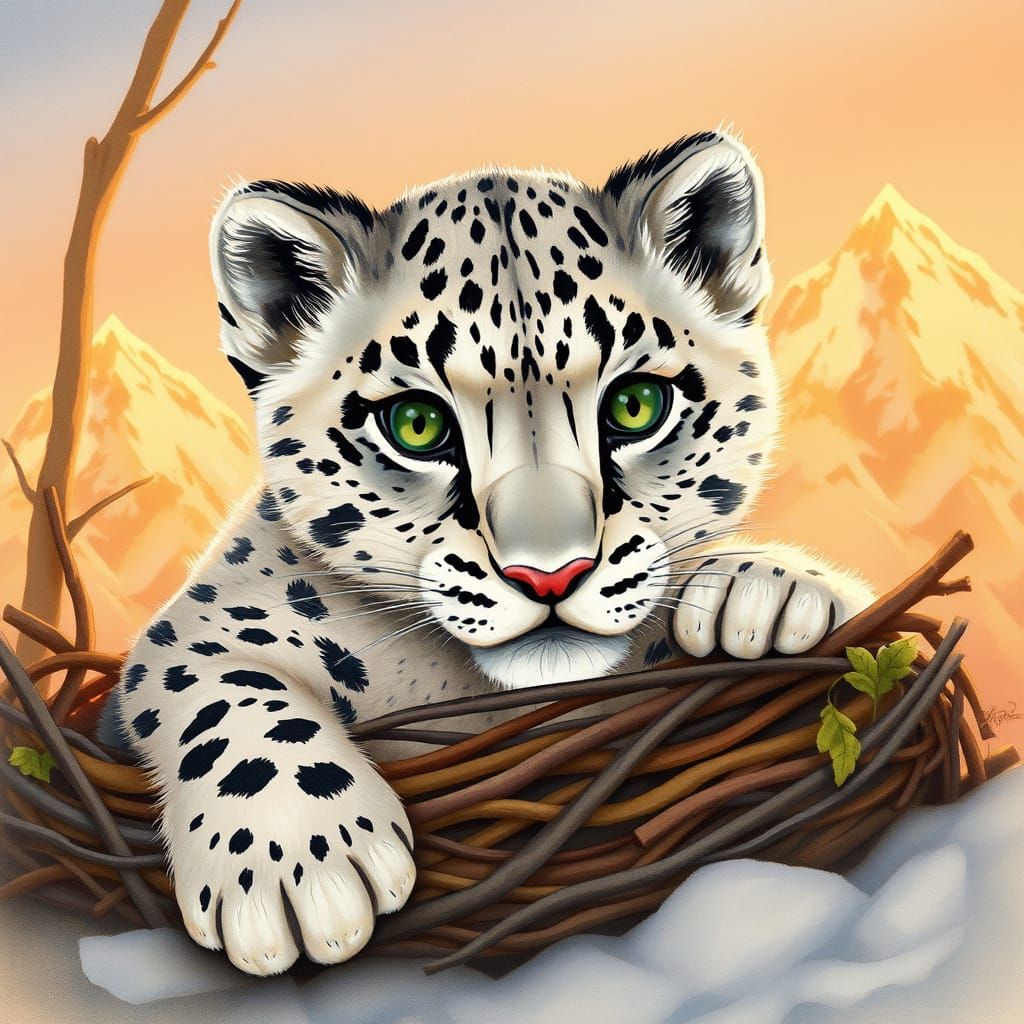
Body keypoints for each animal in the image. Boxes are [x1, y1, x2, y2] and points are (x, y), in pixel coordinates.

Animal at [104, 130, 874, 975]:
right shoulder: (190, 630)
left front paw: (767, 591)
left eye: (636, 404)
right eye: (415, 424)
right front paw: (298, 861)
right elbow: (227, 693)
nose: (552, 576)